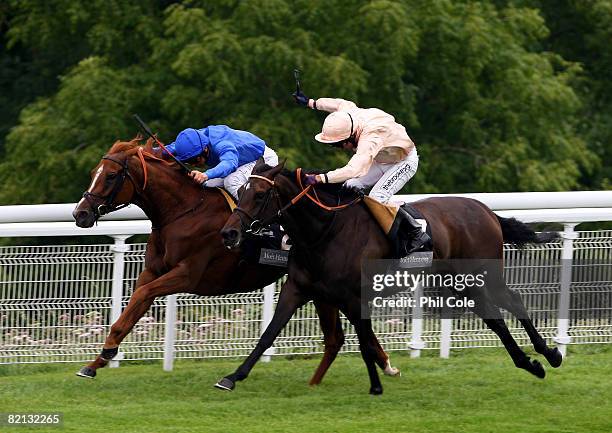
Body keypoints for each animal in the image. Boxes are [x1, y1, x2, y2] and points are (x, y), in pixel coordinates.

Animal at [71, 138, 396, 382]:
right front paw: (97, 361)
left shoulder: (186, 274)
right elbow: (134, 306)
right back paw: (384, 363)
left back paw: (384, 363)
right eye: (94, 171)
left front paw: (107, 351)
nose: (80, 213)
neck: (184, 211)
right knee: (338, 334)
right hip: (318, 286)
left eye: (111, 176)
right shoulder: (153, 271)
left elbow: (141, 296)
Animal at [218, 159, 560, 394]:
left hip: (480, 275)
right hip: (460, 283)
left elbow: (364, 342)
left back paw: (549, 355)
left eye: (260, 194)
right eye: (242, 191)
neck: (325, 232)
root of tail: (487, 211)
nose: (229, 233)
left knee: (511, 302)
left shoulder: (353, 297)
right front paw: (232, 377)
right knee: (497, 318)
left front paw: (376, 385)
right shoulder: (299, 289)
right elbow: (268, 334)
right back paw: (533, 363)